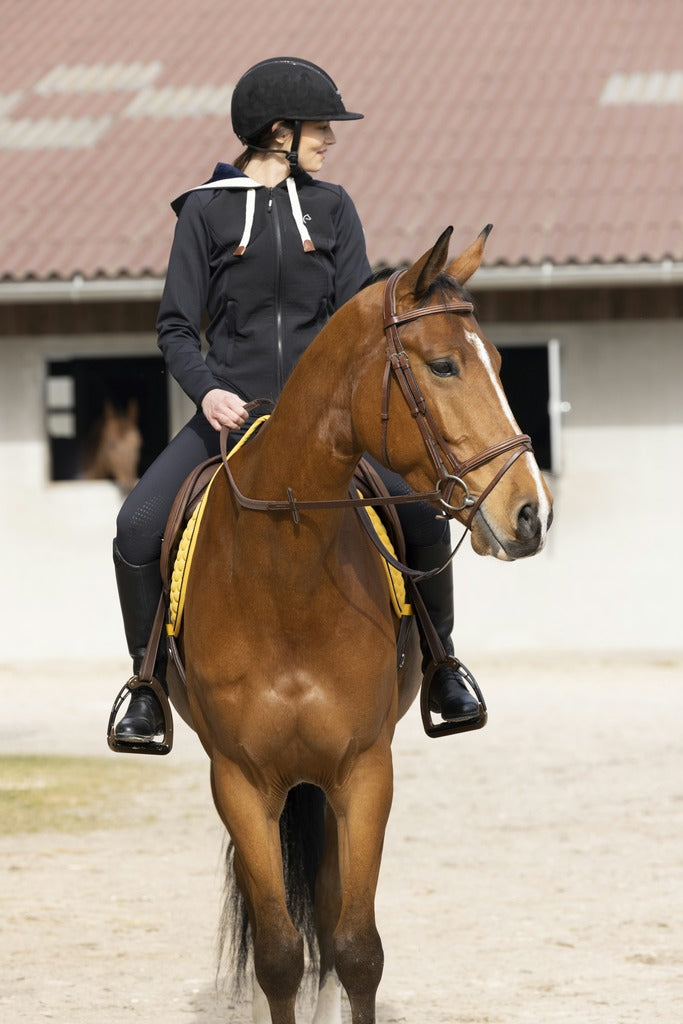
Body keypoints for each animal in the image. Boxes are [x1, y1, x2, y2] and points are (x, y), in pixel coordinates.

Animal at [174, 228, 552, 1024]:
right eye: (442, 365)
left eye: (502, 365)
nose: (532, 513)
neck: (285, 573)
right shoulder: (239, 783)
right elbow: (280, 955)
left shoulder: (364, 772)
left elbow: (355, 950)